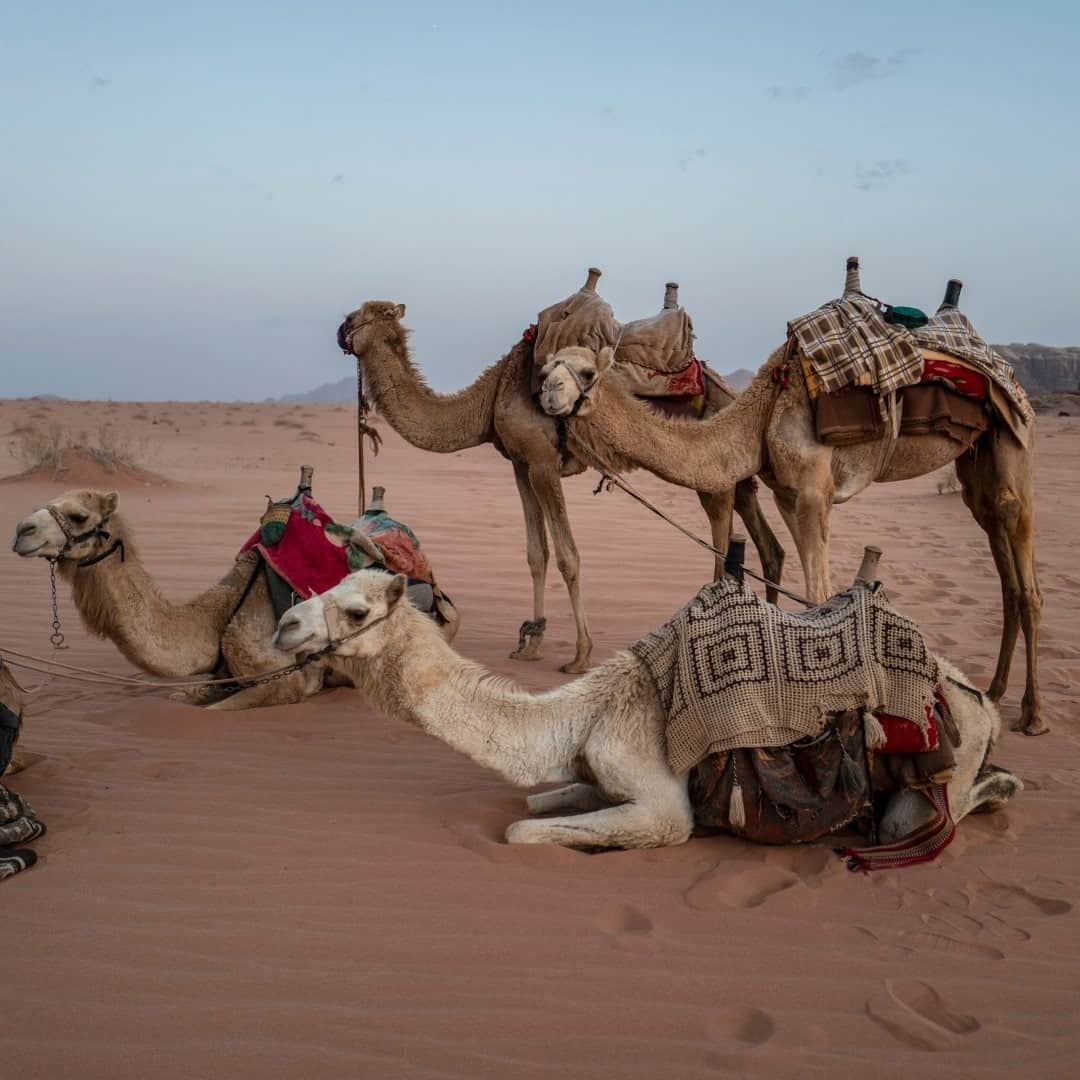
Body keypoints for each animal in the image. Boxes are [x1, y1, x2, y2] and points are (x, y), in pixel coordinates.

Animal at [11, 490, 460, 708]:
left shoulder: (286, 681)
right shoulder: (220, 674)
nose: (20, 531)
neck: (220, 616)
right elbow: (183, 697)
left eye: (79, 516)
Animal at [272, 565, 1019, 851]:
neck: (581, 714)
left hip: (924, 783)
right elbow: (537, 802)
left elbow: (523, 828)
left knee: (920, 817)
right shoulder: (589, 772)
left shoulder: (664, 805)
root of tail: (980, 700)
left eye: (355, 609)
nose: (283, 624)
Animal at [332, 287, 781, 673]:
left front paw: (581, 655)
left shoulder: (544, 461)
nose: (340, 329)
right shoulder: (520, 463)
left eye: (358, 316)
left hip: (708, 464)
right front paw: (530, 644)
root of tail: (724, 390)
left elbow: (568, 555)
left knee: (721, 526)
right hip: (737, 466)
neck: (488, 400)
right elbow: (537, 552)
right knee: (767, 543)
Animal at [540, 332, 1045, 734]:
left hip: (1013, 439)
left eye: (585, 370)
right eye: (545, 367)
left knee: (1023, 558)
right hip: (976, 461)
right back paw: (995, 690)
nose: (547, 390)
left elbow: (819, 596)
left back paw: (1033, 714)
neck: (761, 414)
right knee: (1002, 561)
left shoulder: (813, 492)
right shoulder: (786, 494)